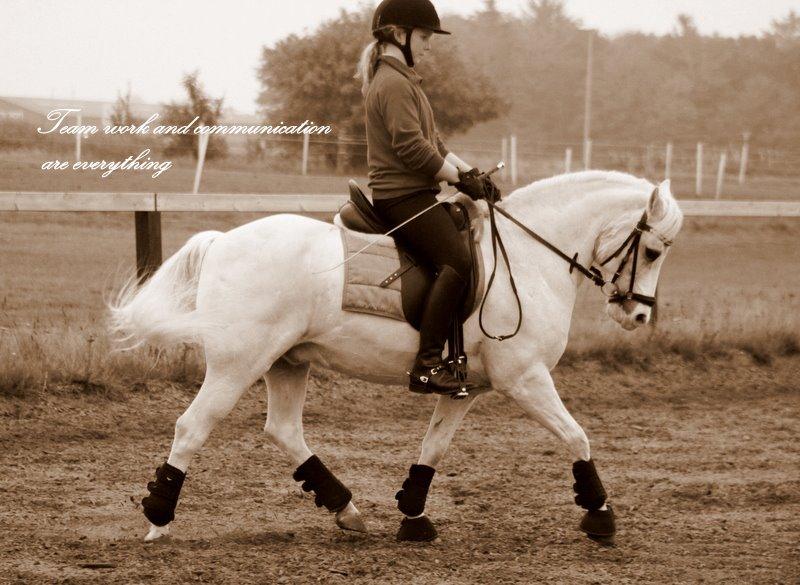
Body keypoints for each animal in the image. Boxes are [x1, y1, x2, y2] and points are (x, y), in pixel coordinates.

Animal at [109, 170, 684, 544]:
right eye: (654, 251)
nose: (638, 315)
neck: (528, 258)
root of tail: (223, 241)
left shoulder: (465, 388)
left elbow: (434, 446)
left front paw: (413, 515)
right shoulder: (525, 377)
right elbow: (577, 436)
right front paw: (601, 514)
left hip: (287, 361)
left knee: (283, 430)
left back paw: (346, 509)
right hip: (238, 364)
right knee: (192, 427)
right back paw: (158, 517)